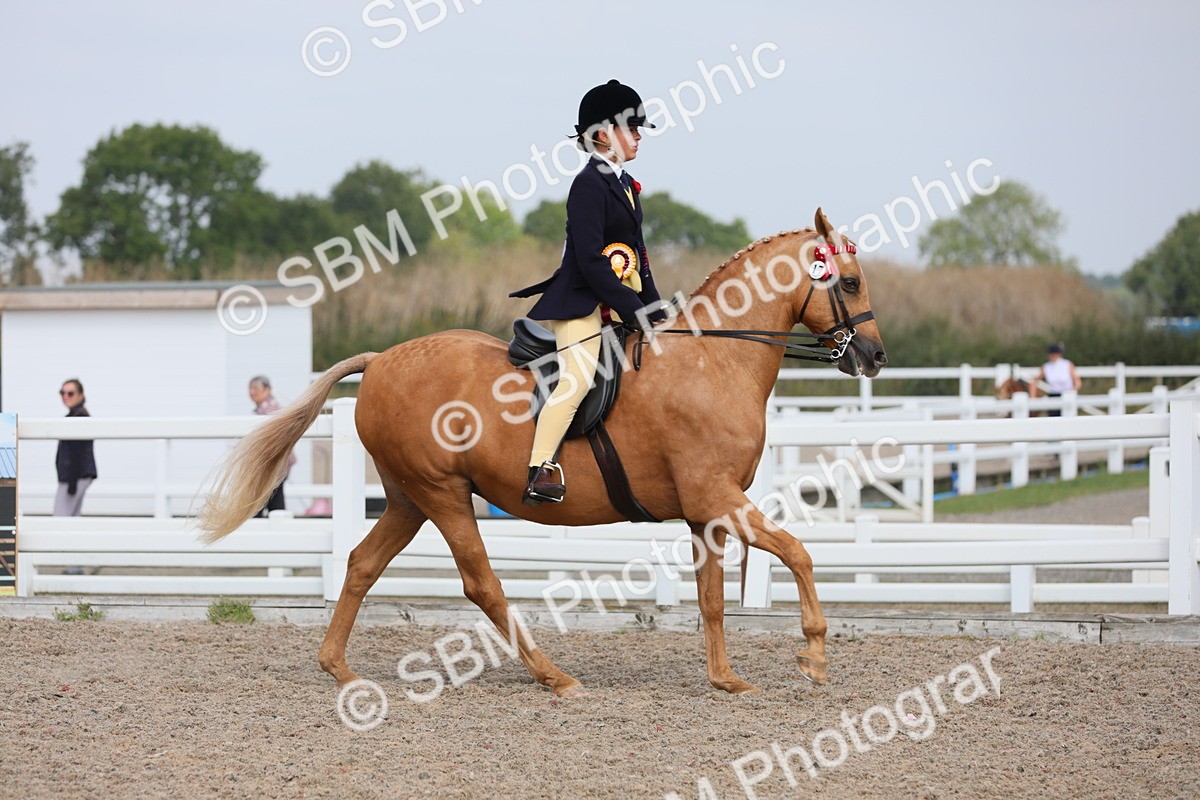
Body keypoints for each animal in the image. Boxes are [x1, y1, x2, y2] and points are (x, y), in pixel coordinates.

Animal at [197, 208, 887, 697]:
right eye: (850, 281)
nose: (874, 356)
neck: (712, 360)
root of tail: (382, 360)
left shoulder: (706, 511)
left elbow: (712, 599)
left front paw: (725, 680)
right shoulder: (717, 496)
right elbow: (799, 553)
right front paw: (813, 657)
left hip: (407, 498)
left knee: (363, 563)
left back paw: (338, 667)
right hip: (443, 495)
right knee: (482, 584)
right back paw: (553, 676)